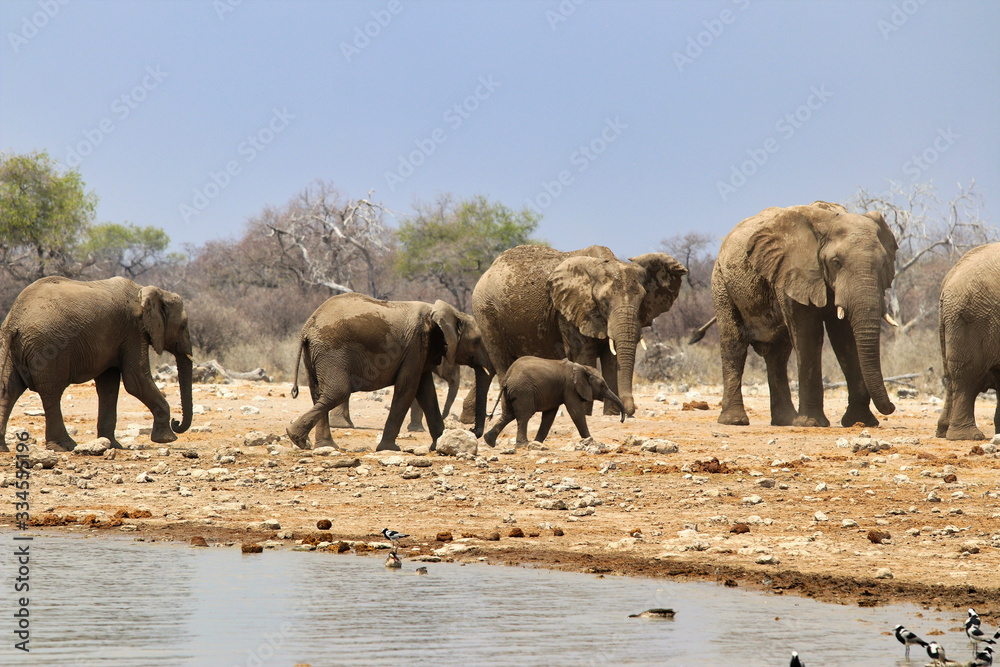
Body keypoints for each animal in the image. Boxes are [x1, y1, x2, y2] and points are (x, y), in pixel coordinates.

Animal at [0, 276, 193, 451]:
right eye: (183, 325)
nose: (176, 422)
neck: (145, 290)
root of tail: (14, 321)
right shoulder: (133, 331)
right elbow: (136, 380)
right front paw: (167, 439)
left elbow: (109, 386)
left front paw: (111, 444)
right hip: (47, 347)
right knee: (51, 392)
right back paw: (64, 446)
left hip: (12, 349)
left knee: (9, 391)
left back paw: (3, 448)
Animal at [286, 294, 481, 451]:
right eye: (478, 341)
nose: (473, 430)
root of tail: (307, 329)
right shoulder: (416, 345)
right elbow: (408, 387)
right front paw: (390, 448)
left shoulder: (422, 350)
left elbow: (426, 391)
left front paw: (438, 446)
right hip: (330, 352)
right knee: (338, 392)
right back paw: (297, 437)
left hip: (314, 354)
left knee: (318, 392)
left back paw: (320, 445)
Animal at [472, 245, 687, 420]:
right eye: (604, 302)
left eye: (642, 300)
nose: (629, 411)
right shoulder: (568, 311)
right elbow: (584, 354)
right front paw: (585, 413)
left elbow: (611, 358)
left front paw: (611, 414)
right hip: (486, 313)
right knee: (502, 362)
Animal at [483, 356, 625, 446]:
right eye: (602, 385)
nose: (622, 420)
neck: (581, 367)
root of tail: (508, 377)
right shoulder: (569, 387)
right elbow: (576, 412)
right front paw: (590, 441)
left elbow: (549, 416)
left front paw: (537, 443)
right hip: (523, 391)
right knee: (524, 416)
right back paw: (523, 445)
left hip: (511, 392)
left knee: (507, 415)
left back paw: (489, 441)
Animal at [712, 201, 898, 428]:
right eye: (836, 262)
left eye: (884, 264)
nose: (892, 407)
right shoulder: (792, 272)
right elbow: (808, 334)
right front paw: (812, 423)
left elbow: (844, 339)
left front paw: (860, 422)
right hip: (721, 282)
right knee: (734, 345)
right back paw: (735, 421)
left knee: (778, 355)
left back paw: (785, 421)